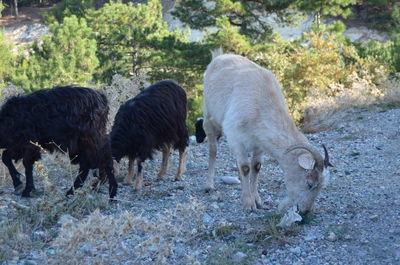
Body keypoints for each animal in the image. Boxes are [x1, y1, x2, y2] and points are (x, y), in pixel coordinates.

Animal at [202, 50, 332, 212]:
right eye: (309, 184)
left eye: (321, 187)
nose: (305, 211)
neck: (261, 104)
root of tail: (218, 56)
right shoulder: (236, 137)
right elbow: (245, 168)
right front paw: (248, 204)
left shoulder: (259, 143)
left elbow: (256, 167)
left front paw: (257, 200)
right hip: (208, 117)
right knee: (213, 150)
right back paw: (209, 185)